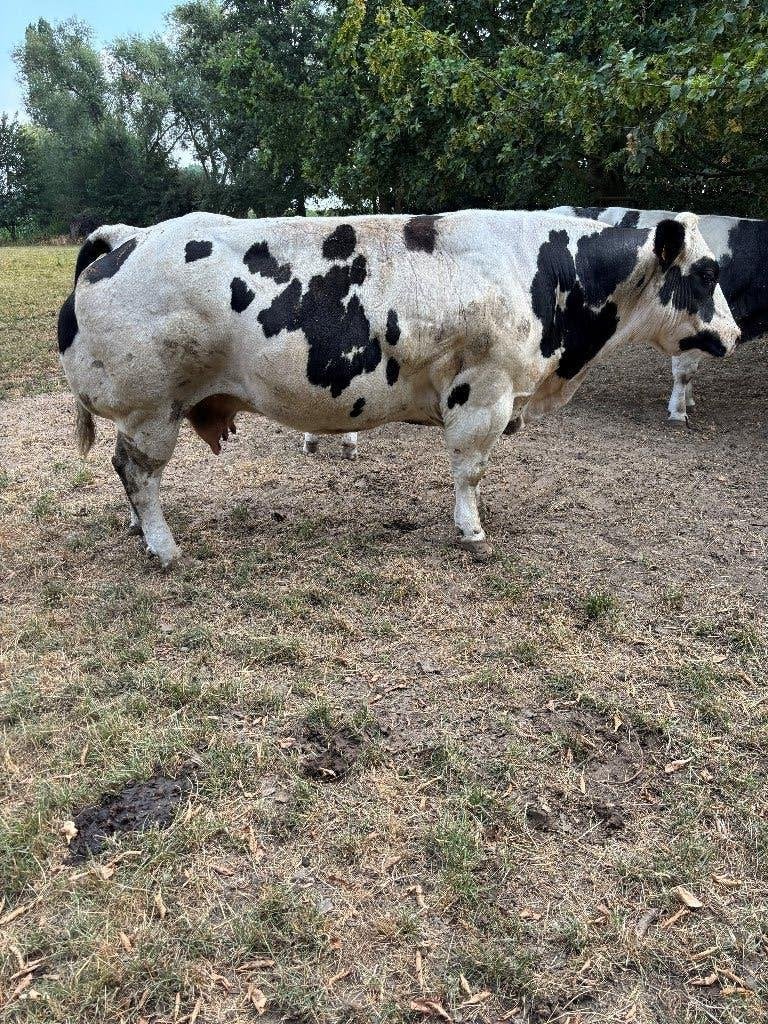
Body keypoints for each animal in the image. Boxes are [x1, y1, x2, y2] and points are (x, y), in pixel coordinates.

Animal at [58, 209, 739, 567]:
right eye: (707, 272)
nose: (733, 333)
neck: (546, 273)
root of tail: (127, 237)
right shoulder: (483, 394)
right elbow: (469, 472)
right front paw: (472, 532)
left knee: (129, 471)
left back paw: (137, 530)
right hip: (153, 408)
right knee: (138, 471)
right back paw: (163, 545)